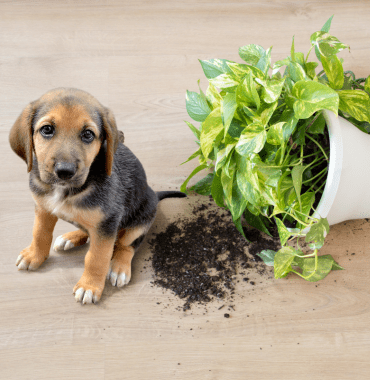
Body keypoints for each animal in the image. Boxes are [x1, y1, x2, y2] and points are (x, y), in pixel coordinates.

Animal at [9, 87, 185, 304]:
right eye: (47, 129)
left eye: (87, 134)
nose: (65, 171)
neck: (67, 191)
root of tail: (154, 194)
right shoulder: (43, 209)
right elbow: (40, 233)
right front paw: (34, 255)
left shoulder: (107, 224)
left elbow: (96, 258)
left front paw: (90, 286)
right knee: (87, 230)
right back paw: (70, 237)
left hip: (141, 220)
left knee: (127, 245)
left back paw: (119, 267)